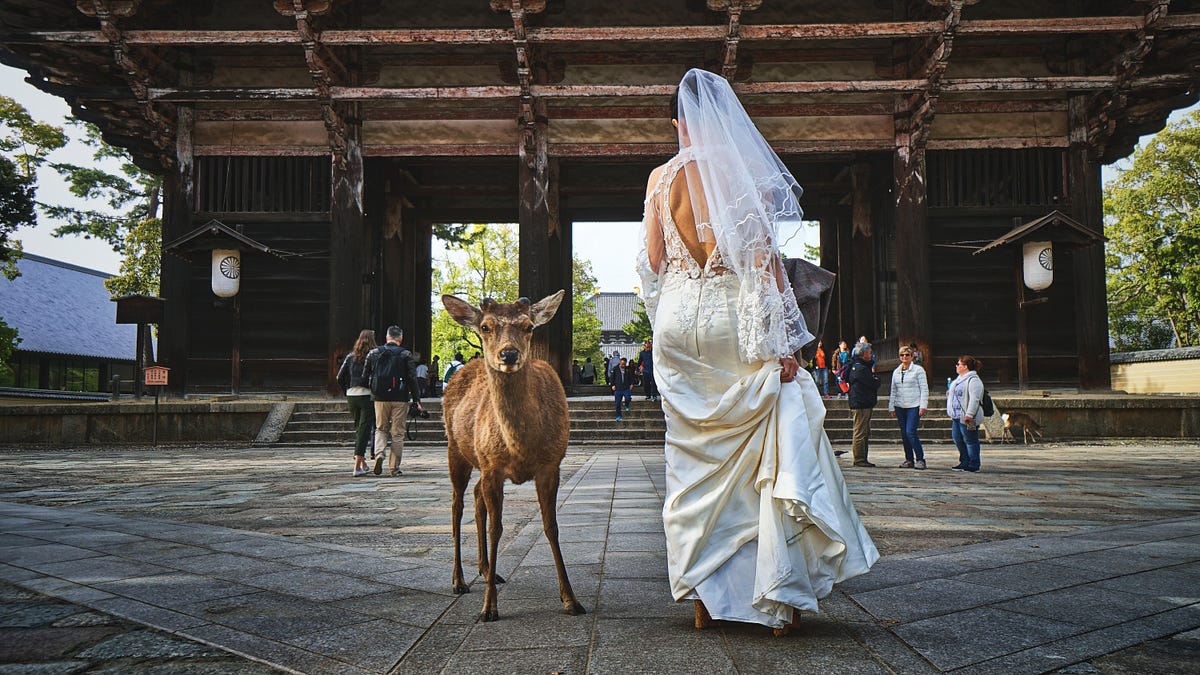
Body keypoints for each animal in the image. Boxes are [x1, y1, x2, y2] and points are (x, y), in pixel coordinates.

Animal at [444, 289, 588, 619]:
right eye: (485, 326)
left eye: (528, 326)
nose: (508, 355)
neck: (520, 446)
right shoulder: (493, 467)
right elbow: (497, 528)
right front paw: (489, 608)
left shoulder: (551, 465)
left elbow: (551, 526)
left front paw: (571, 599)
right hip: (455, 449)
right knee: (457, 505)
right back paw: (459, 580)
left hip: (479, 462)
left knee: (475, 498)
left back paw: (488, 570)